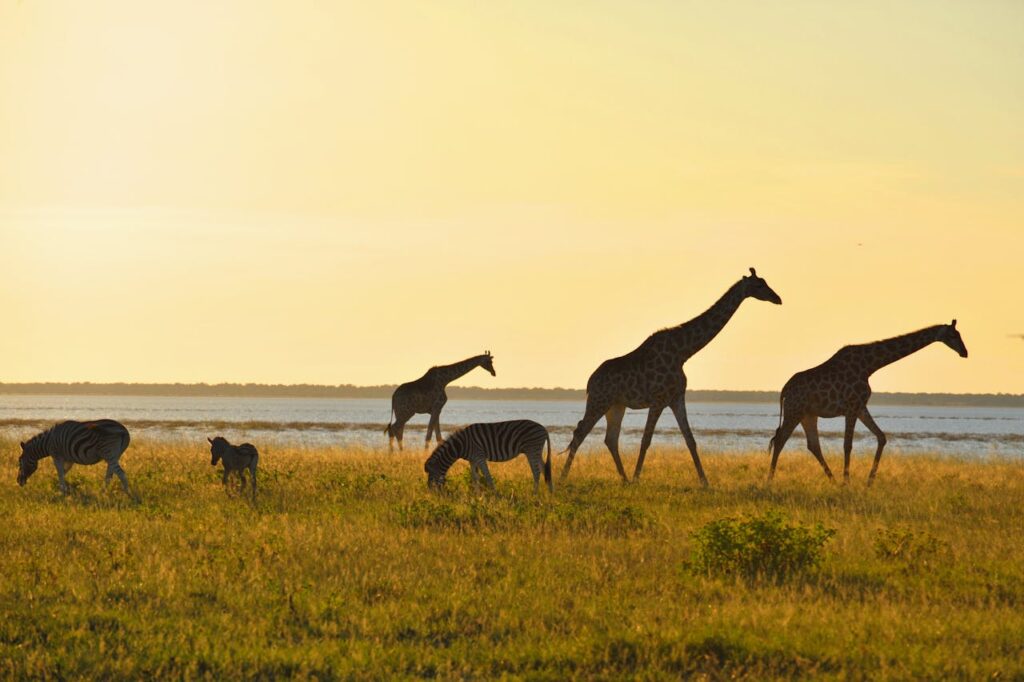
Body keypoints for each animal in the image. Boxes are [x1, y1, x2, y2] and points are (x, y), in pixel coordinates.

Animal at [424, 420, 553, 493]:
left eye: (431, 476)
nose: (430, 494)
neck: (461, 445)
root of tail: (543, 428)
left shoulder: (480, 456)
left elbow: (487, 476)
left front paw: (495, 496)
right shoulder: (472, 460)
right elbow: (475, 478)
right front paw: (477, 495)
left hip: (531, 450)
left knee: (536, 472)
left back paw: (534, 494)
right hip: (536, 451)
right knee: (544, 469)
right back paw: (550, 493)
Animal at [560, 268, 783, 485]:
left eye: (765, 282)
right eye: (759, 285)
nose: (778, 298)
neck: (683, 352)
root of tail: (590, 382)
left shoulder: (676, 397)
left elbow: (690, 439)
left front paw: (705, 482)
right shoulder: (658, 400)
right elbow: (646, 440)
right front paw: (637, 478)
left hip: (616, 405)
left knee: (610, 439)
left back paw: (623, 479)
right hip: (600, 401)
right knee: (580, 433)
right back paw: (564, 477)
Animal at [767, 321, 968, 485]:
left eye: (959, 334)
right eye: (953, 335)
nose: (965, 352)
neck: (869, 366)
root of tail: (784, 390)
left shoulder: (860, 406)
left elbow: (881, 437)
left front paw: (869, 481)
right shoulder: (851, 407)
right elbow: (847, 445)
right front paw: (847, 482)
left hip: (808, 414)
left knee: (812, 445)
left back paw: (832, 480)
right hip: (794, 411)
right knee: (780, 439)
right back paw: (770, 481)